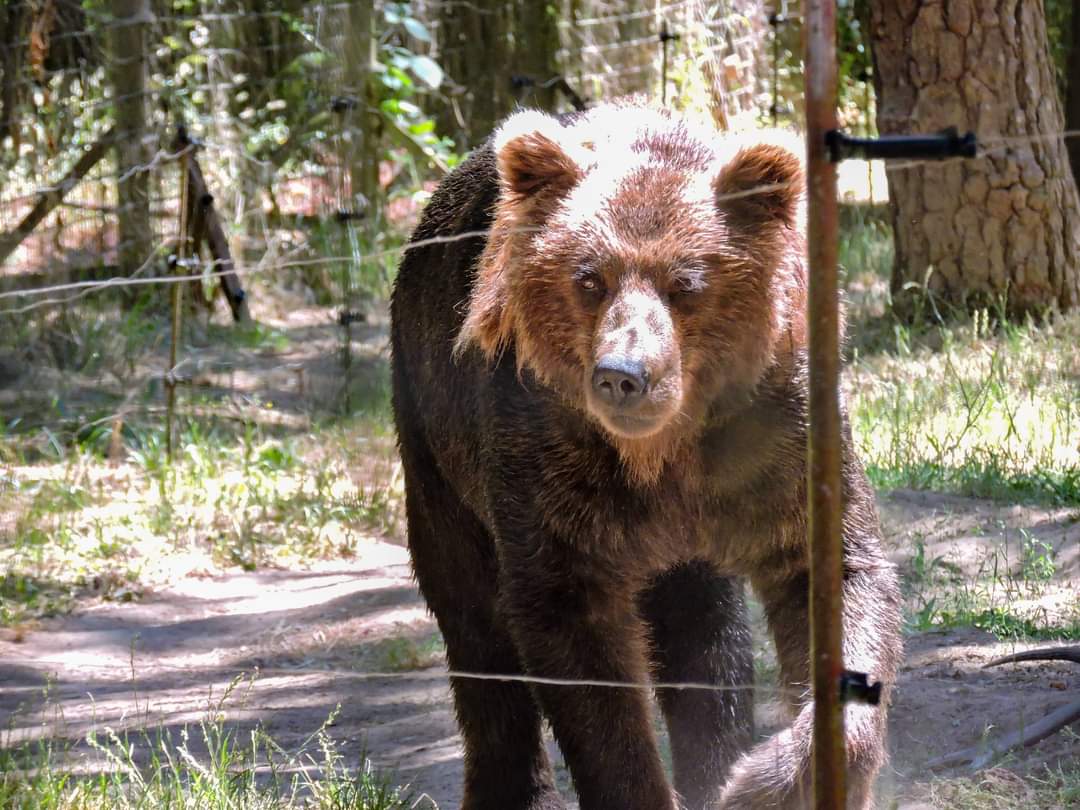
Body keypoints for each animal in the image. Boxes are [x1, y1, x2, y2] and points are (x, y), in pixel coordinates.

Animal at [390, 103, 902, 810]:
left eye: (687, 283)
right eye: (589, 278)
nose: (622, 374)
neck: (662, 454)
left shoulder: (774, 434)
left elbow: (836, 577)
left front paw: (765, 780)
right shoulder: (547, 456)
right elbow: (578, 647)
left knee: (707, 633)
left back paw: (715, 762)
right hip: (435, 445)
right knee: (473, 621)